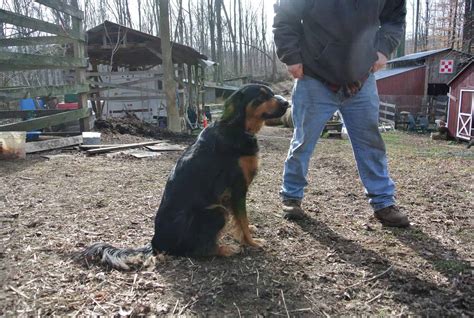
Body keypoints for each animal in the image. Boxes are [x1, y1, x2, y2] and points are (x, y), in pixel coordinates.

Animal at [76, 84, 286, 268]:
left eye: (271, 93)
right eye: (261, 96)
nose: (286, 103)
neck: (237, 127)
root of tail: (155, 243)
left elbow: (241, 221)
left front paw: (249, 232)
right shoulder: (237, 188)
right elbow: (242, 220)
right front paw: (252, 242)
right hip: (216, 211)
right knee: (196, 250)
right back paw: (226, 249)